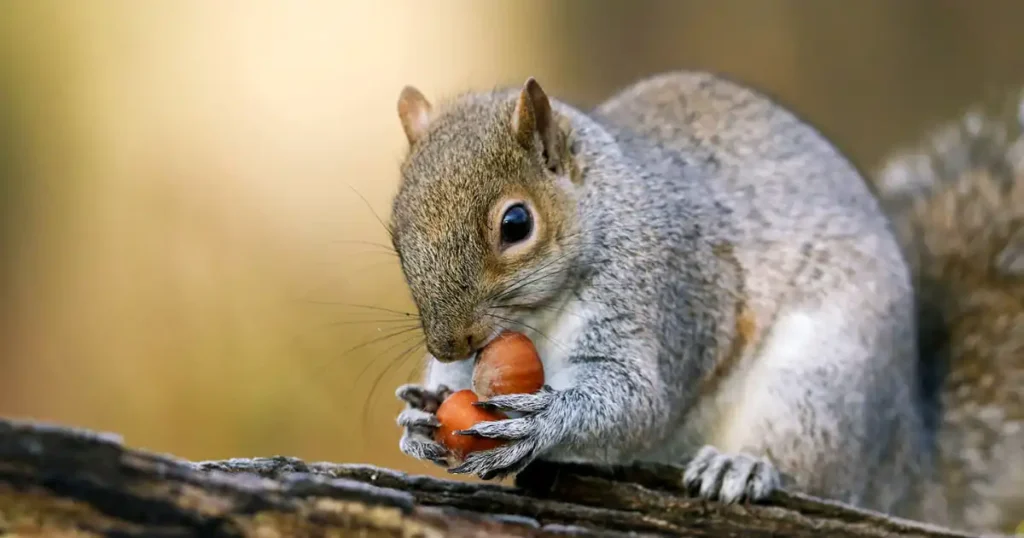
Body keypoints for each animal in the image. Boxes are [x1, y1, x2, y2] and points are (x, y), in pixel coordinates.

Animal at [385, 71, 1024, 532]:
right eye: (396, 232)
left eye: (516, 223)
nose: (449, 343)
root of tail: (906, 459)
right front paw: (425, 409)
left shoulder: (670, 293)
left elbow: (641, 402)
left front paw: (542, 423)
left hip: (821, 383)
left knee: (814, 469)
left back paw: (743, 465)